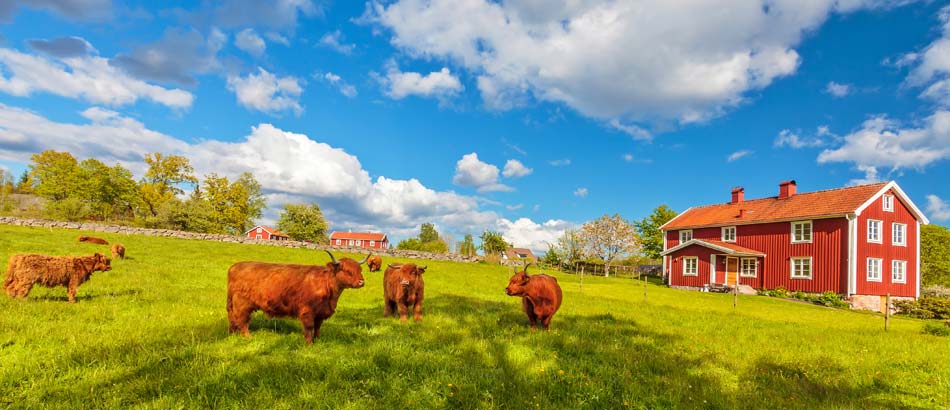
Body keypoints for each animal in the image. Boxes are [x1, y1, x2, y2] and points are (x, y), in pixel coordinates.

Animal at [226, 251, 368, 344]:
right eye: (348, 271)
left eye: (360, 270)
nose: (361, 282)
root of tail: (235, 266)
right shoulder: (307, 311)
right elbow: (309, 327)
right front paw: (309, 344)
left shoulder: (321, 313)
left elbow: (318, 327)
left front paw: (318, 340)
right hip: (242, 305)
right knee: (242, 320)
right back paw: (248, 337)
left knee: (233, 318)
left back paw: (232, 333)